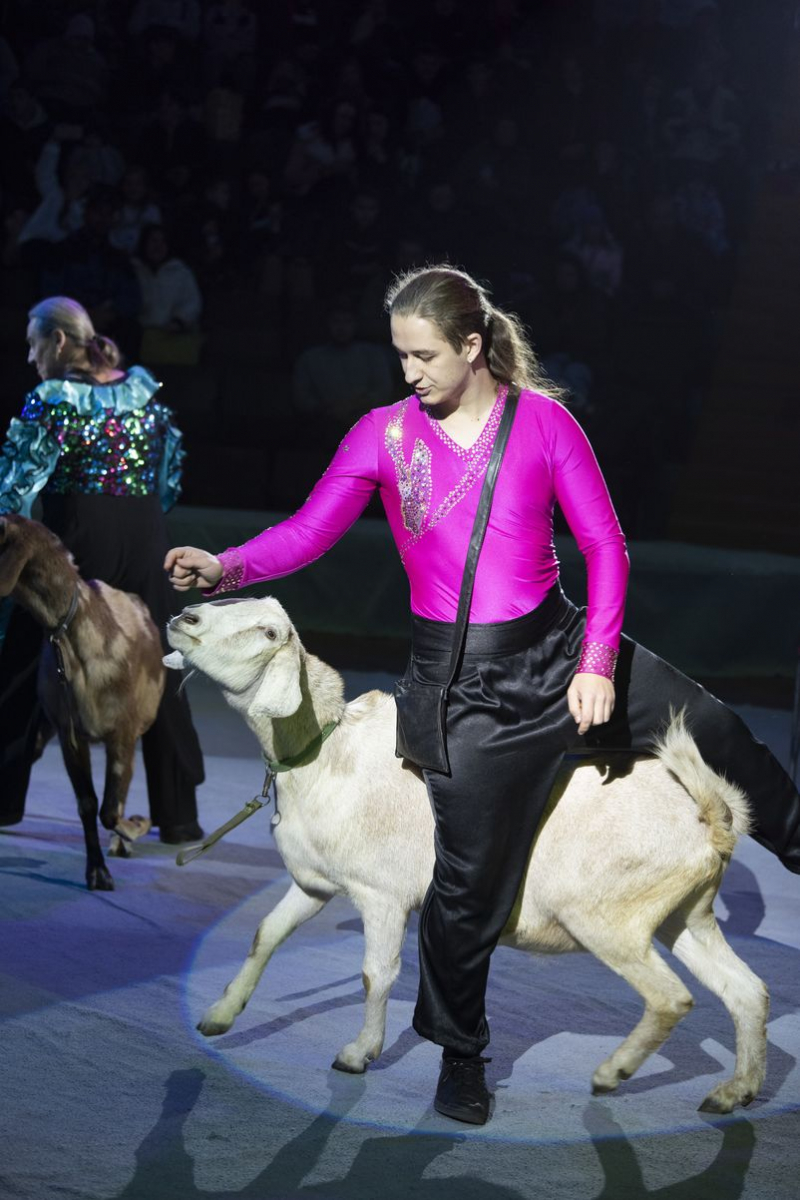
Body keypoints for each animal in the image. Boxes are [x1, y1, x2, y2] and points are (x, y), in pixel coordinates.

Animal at [0, 516, 165, 892]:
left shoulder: (122, 732)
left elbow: (110, 810)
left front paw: (135, 827)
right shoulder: (70, 735)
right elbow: (89, 805)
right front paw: (97, 870)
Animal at [164, 595, 767, 1108]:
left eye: (270, 631)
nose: (183, 617)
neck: (327, 748)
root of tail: (711, 820)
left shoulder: (381, 895)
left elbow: (375, 973)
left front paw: (358, 1054)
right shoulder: (315, 884)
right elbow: (265, 934)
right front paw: (219, 1017)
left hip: (608, 919)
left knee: (672, 998)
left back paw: (611, 1073)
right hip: (684, 916)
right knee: (747, 991)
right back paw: (734, 1092)